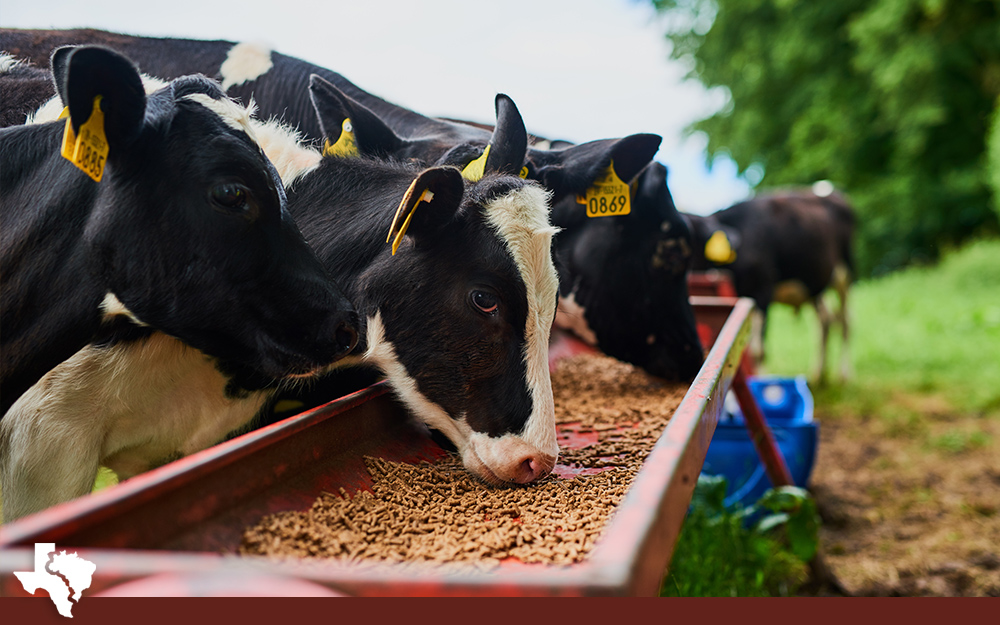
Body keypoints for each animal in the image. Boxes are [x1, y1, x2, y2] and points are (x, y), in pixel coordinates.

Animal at [685, 184, 855, 384]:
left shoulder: (762, 291)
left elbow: (758, 350)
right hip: (815, 283)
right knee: (825, 320)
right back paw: (818, 374)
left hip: (845, 274)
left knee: (845, 321)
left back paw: (845, 374)